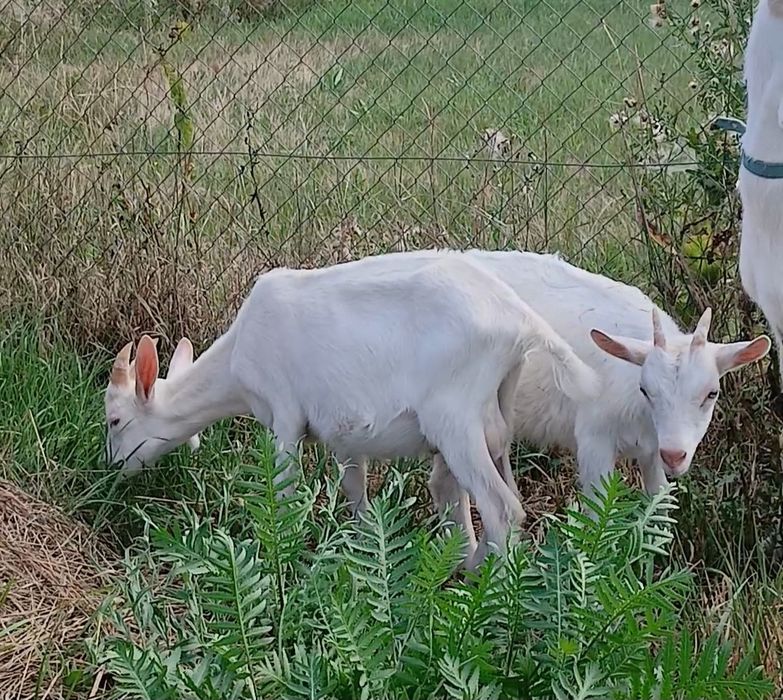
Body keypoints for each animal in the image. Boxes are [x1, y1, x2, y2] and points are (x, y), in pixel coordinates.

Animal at [104, 251, 598, 568]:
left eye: (114, 420)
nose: (111, 472)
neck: (237, 357)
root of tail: (522, 321)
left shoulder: (284, 411)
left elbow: (284, 486)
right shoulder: (345, 433)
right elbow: (355, 491)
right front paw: (362, 547)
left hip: (453, 417)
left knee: (502, 508)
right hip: (495, 411)